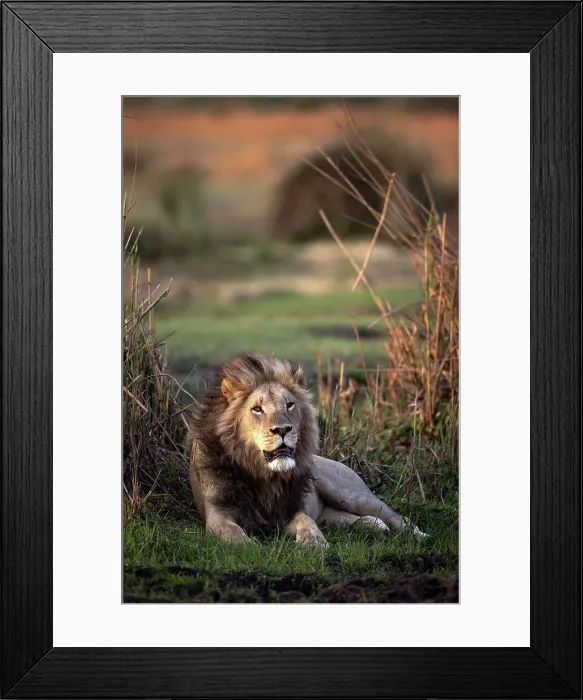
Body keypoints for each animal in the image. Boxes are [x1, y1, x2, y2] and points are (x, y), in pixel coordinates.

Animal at [186, 353, 427, 547]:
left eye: (289, 404)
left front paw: (315, 542)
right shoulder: (217, 516)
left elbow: (306, 520)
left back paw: (419, 535)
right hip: (331, 516)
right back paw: (376, 526)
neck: (260, 471)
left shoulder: (289, 509)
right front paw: (249, 547)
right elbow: (233, 534)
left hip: (351, 494)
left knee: (398, 517)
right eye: (257, 409)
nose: (282, 429)